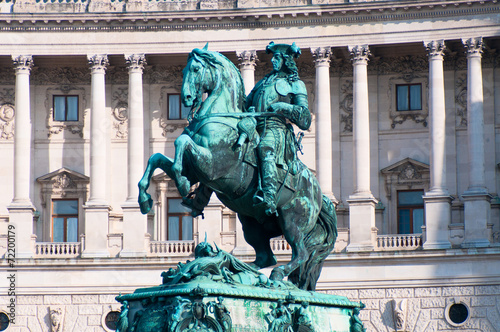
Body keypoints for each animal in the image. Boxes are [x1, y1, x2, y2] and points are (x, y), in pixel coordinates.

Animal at [137, 44, 336, 290]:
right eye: (183, 70)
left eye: (195, 69)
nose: (186, 98)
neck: (221, 117)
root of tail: (319, 194)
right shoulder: (195, 170)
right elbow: (156, 158)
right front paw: (145, 199)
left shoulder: (211, 165)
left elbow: (180, 144)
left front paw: (181, 185)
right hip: (251, 222)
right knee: (266, 257)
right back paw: (239, 269)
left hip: (292, 219)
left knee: (300, 253)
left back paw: (272, 274)